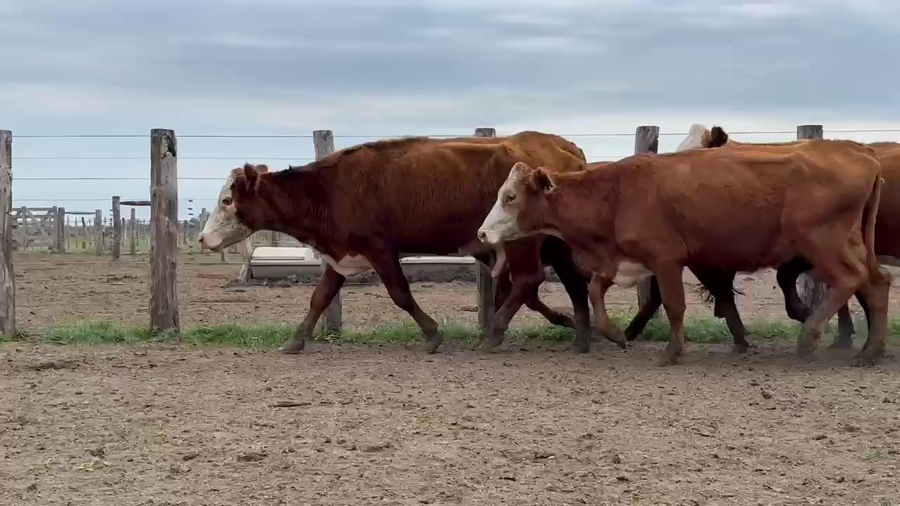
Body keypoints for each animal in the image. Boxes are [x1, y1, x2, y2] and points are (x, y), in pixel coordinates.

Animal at [198, 131, 623, 356]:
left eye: (227, 199)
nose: (203, 237)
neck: (330, 189)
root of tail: (562, 148)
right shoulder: (341, 256)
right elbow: (320, 298)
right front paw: (296, 340)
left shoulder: (379, 248)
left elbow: (400, 293)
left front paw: (432, 333)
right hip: (551, 243)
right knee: (567, 281)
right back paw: (580, 334)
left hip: (523, 242)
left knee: (529, 280)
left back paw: (495, 333)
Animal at [476, 140, 891, 366]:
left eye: (510, 196)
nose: (482, 232)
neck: (618, 193)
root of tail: (864, 154)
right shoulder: (624, 260)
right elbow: (595, 291)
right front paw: (617, 335)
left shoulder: (666, 260)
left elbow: (675, 305)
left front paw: (672, 352)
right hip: (848, 243)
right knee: (876, 283)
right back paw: (869, 352)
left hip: (822, 242)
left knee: (851, 280)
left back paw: (810, 336)